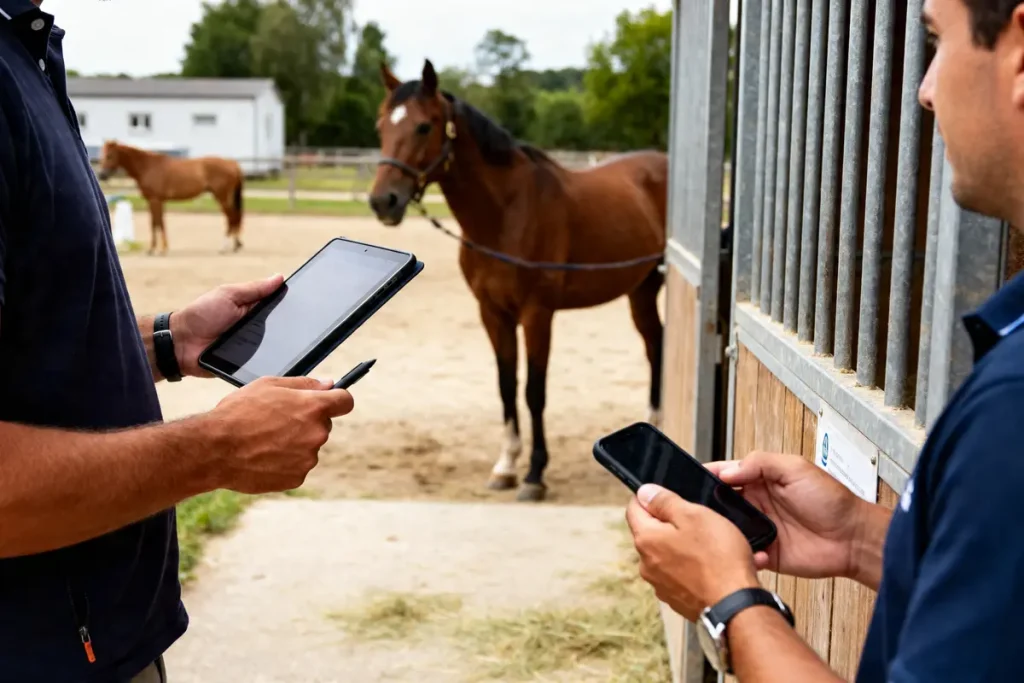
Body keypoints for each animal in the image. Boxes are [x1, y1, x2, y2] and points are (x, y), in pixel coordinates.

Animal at [96, 140, 245, 256]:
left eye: (109, 155)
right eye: (101, 154)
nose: (102, 175)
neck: (148, 166)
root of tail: (232, 164)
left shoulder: (156, 200)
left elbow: (158, 223)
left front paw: (160, 249)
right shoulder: (154, 201)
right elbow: (155, 223)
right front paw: (154, 249)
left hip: (221, 197)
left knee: (231, 218)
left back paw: (224, 247)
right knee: (235, 218)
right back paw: (236, 245)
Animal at [369, 59, 668, 502]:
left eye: (424, 126)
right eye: (381, 125)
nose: (382, 201)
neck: (505, 214)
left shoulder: (537, 314)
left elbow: (534, 391)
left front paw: (534, 474)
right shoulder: (493, 313)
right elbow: (506, 385)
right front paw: (506, 466)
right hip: (641, 291)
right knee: (654, 344)